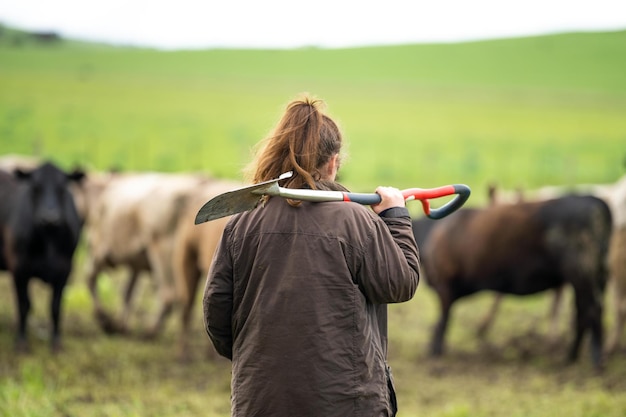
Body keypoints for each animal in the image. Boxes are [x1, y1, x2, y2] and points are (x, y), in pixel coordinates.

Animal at [0, 162, 84, 352]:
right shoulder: (19, 268)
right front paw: (21, 341)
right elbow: (24, 305)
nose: (49, 218)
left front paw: (56, 342)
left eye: (62, 188)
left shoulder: (65, 270)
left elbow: (55, 307)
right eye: (35, 187)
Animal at [422, 193, 612, 368]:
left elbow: (443, 320)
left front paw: (435, 351)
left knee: (591, 312)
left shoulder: (444, 286)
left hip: (582, 275)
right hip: (595, 276)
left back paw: (595, 361)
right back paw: (572, 357)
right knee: (584, 314)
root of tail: (593, 200)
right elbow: (443, 320)